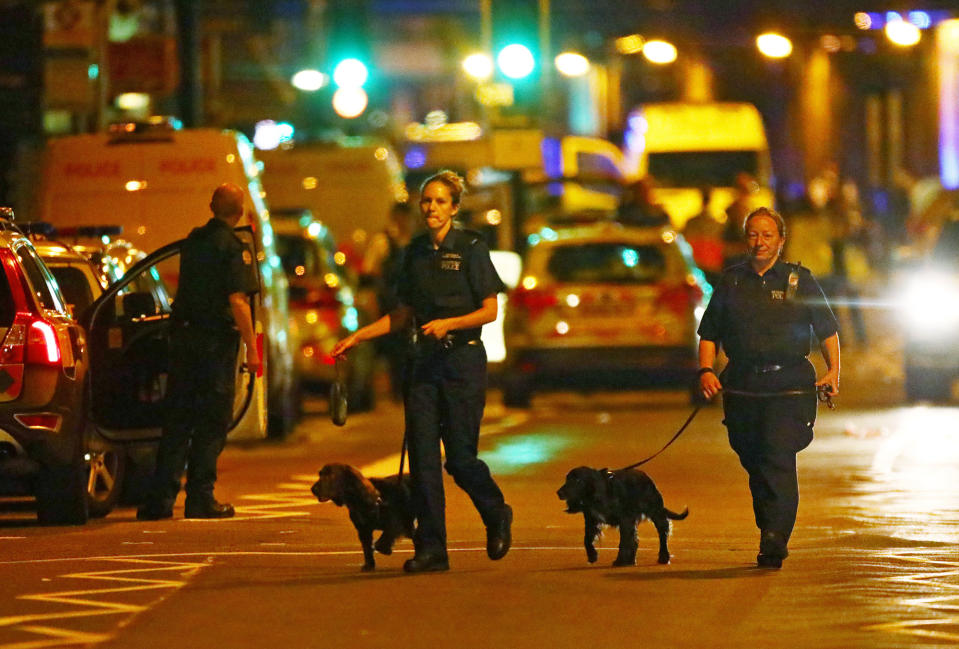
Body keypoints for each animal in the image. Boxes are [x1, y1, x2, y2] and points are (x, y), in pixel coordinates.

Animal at [560, 464, 688, 564]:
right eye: (567, 479)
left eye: (578, 481)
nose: (559, 492)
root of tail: (648, 478)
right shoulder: (592, 520)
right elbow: (587, 539)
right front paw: (592, 556)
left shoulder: (625, 519)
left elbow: (625, 542)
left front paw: (620, 560)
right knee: (635, 539)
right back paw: (631, 560)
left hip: (656, 512)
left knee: (662, 534)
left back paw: (663, 557)